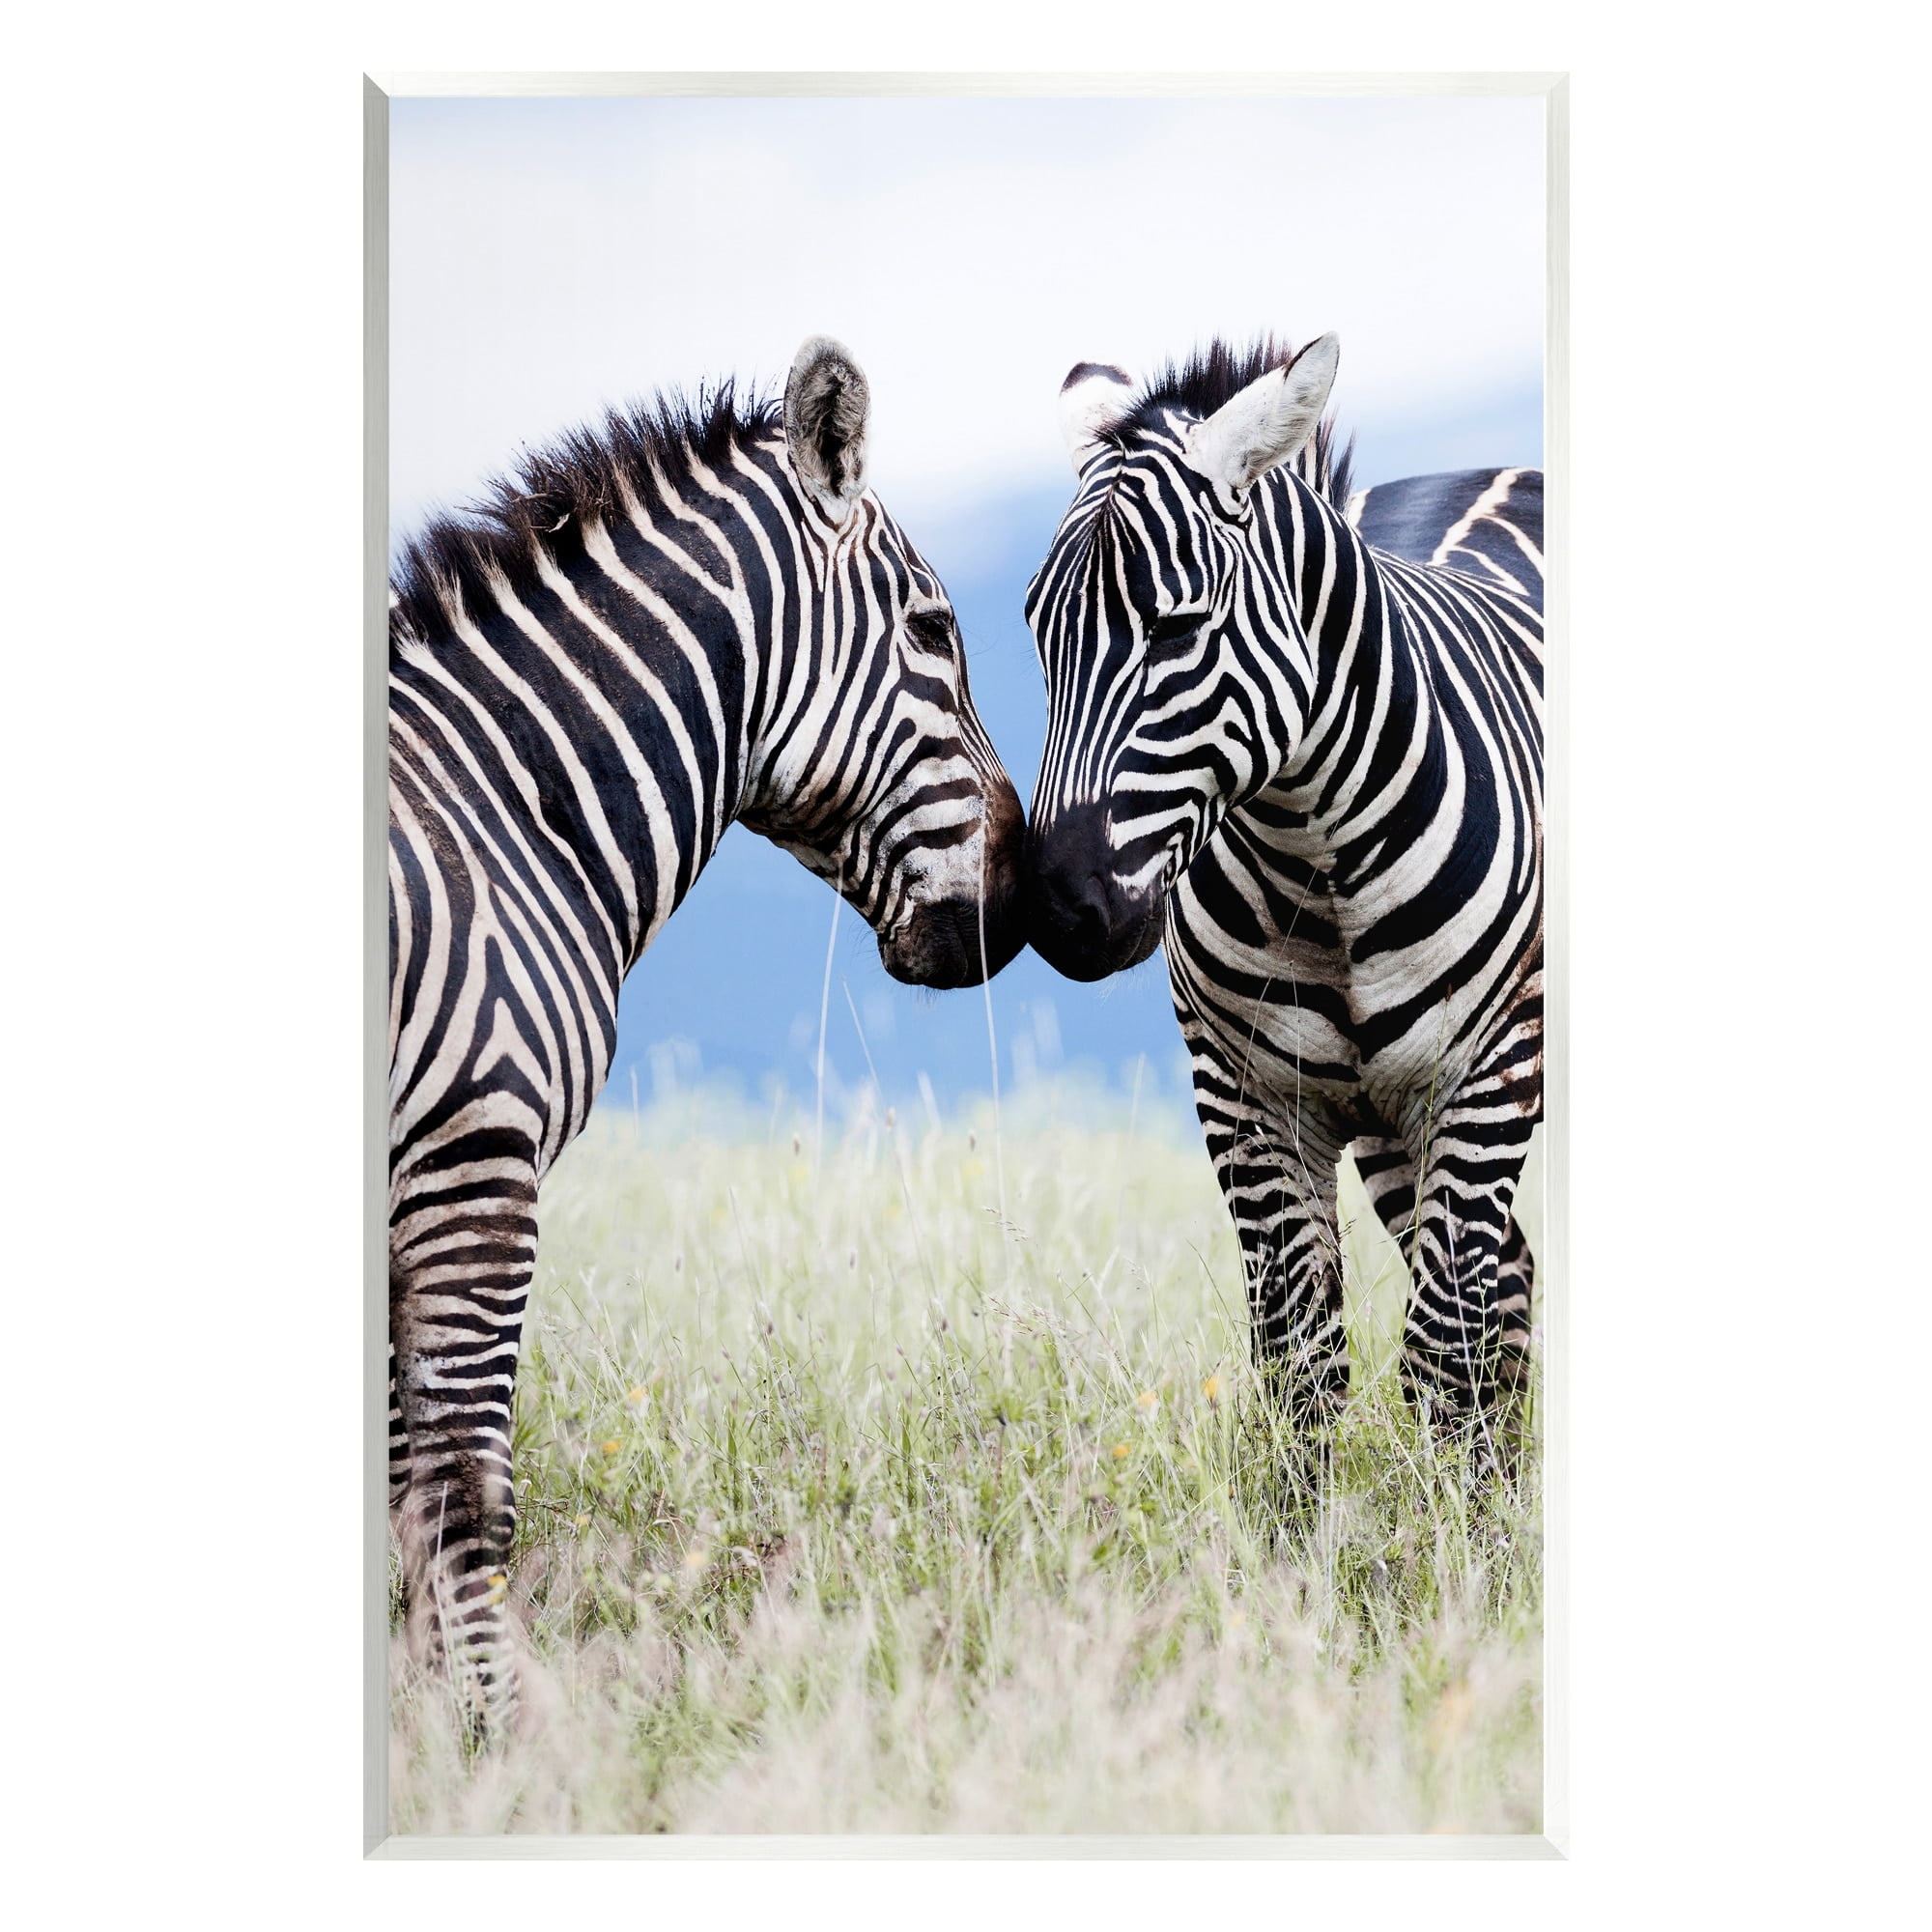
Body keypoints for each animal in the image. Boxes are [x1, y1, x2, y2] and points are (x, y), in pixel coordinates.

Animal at [387, 336, 1025, 1730]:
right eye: (936, 632)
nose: (1018, 909)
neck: (506, 800)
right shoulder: (472, 1161)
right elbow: (459, 1490)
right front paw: (501, 1741)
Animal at [1023, 334, 1542, 1453]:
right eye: (1041, 636)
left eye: (1176, 632)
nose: (1061, 912)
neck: (1313, 852)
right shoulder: (1245, 1095)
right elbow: (1299, 1361)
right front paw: (1312, 1514)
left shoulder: (1487, 1074)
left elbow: (1439, 1354)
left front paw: (1446, 1509)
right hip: (1390, 1122)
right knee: (1511, 1284)